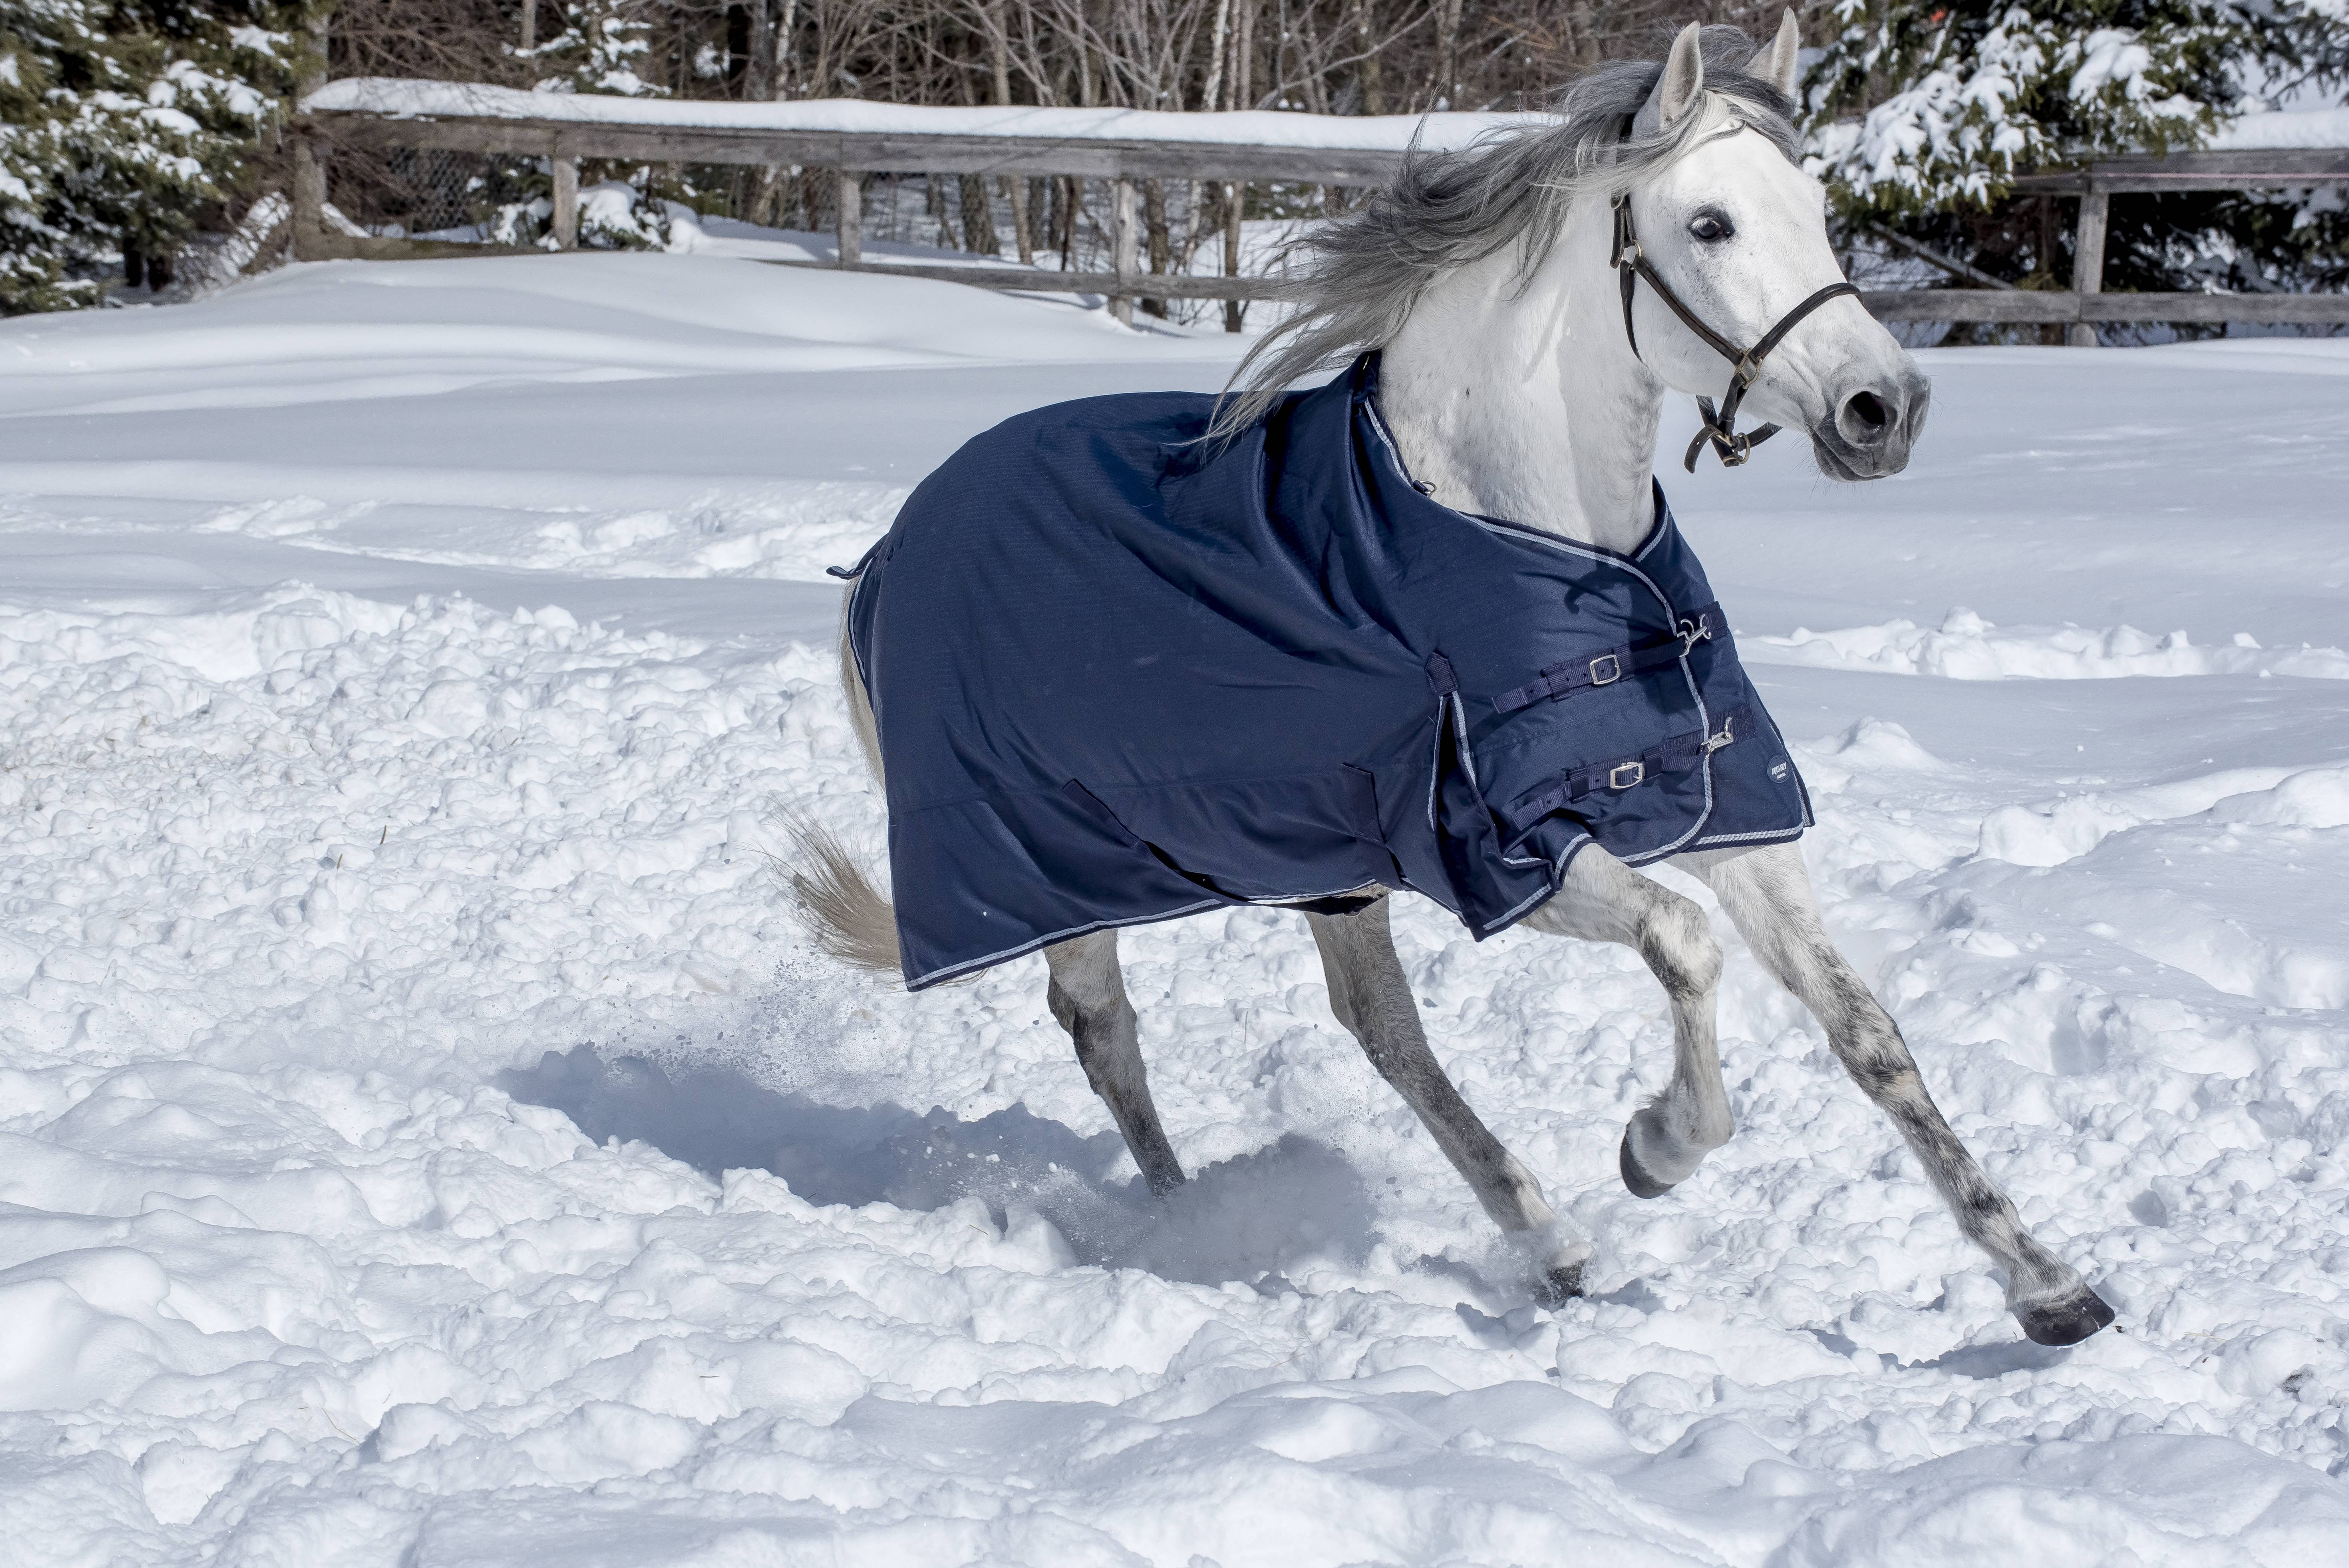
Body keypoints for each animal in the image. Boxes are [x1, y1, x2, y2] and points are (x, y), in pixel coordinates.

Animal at [799, 15, 2123, 1352]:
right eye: (1708, 224)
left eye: (1813, 207)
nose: (1881, 408)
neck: (1530, 540)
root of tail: (886, 554)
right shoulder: (1505, 853)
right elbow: (1686, 947)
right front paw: (1655, 1148)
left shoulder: (1723, 808)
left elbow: (1867, 1033)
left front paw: (2047, 1285)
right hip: (1055, 871)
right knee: (1105, 1032)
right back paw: (1194, 1223)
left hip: (1322, 866)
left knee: (1380, 1031)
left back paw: (1547, 1245)